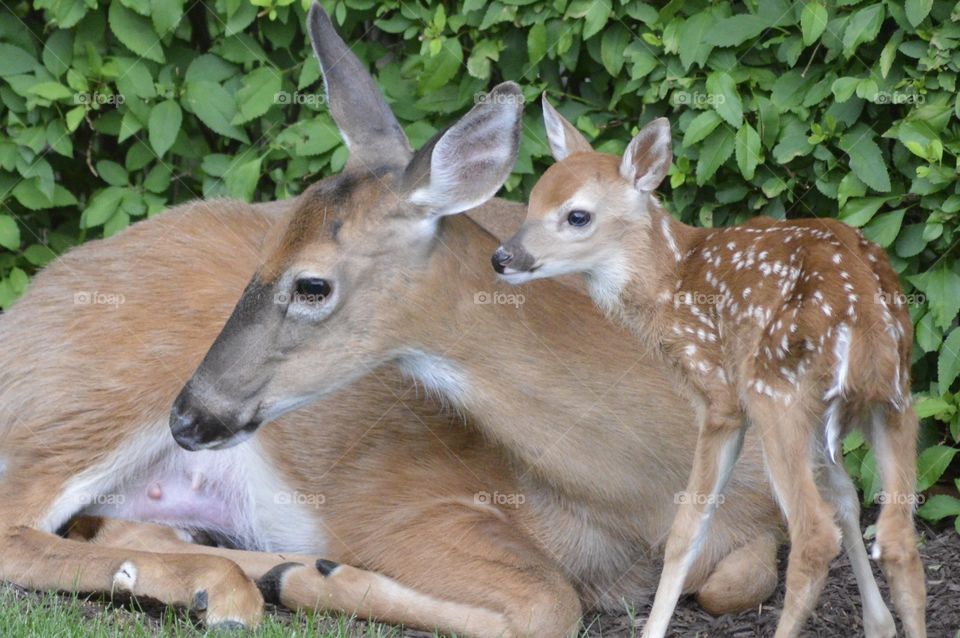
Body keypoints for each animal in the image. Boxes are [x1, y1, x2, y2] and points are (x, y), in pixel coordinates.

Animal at [492, 96, 928, 638]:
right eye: (531, 200)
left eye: (577, 216)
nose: (502, 257)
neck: (672, 285)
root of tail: (866, 310)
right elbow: (848, 499)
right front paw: (878, 623)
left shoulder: (719, 397)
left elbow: (686, 528)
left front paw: (653, 629)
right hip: (893, 401)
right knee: (898, 537)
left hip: (775, 393)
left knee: (813, 536)